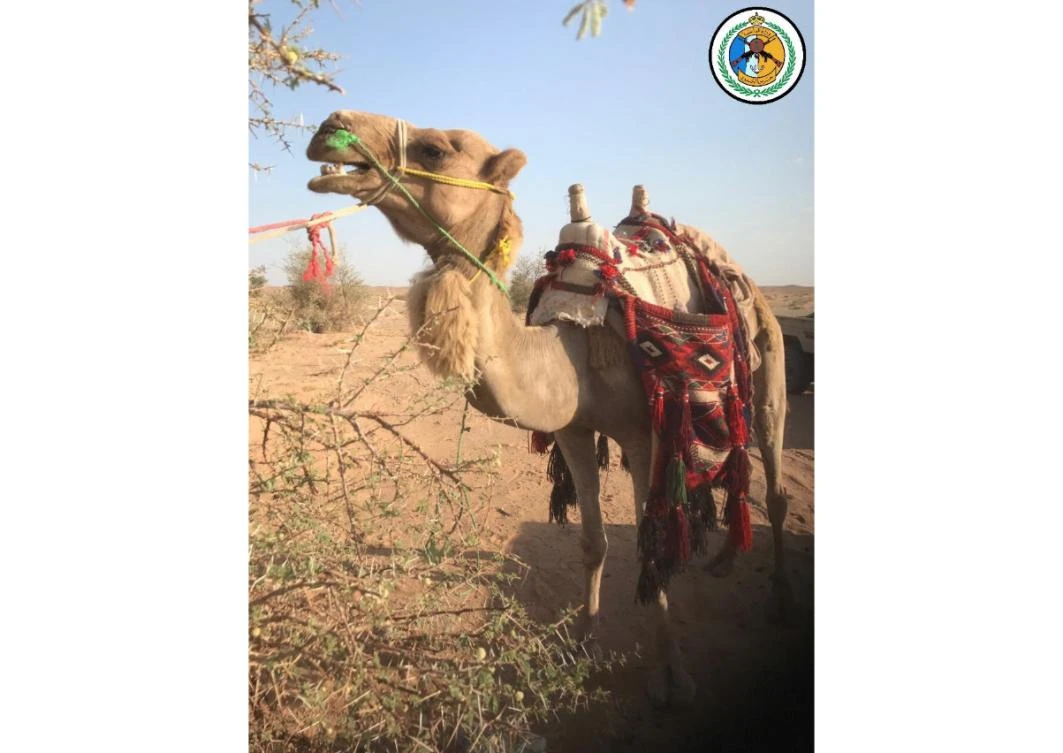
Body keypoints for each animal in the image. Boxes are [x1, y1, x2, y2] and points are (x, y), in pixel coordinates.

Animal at [305, 110, 791, 705]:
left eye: (436, 149)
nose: (330, 127)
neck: (570, 352)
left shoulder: (645, 436)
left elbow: (652, 549)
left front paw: (673, 675)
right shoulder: (574, 431)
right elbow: (592, 540)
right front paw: (582, 640)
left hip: (767, 367)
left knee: (773, 475)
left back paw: (778, 600)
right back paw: (722, 558)